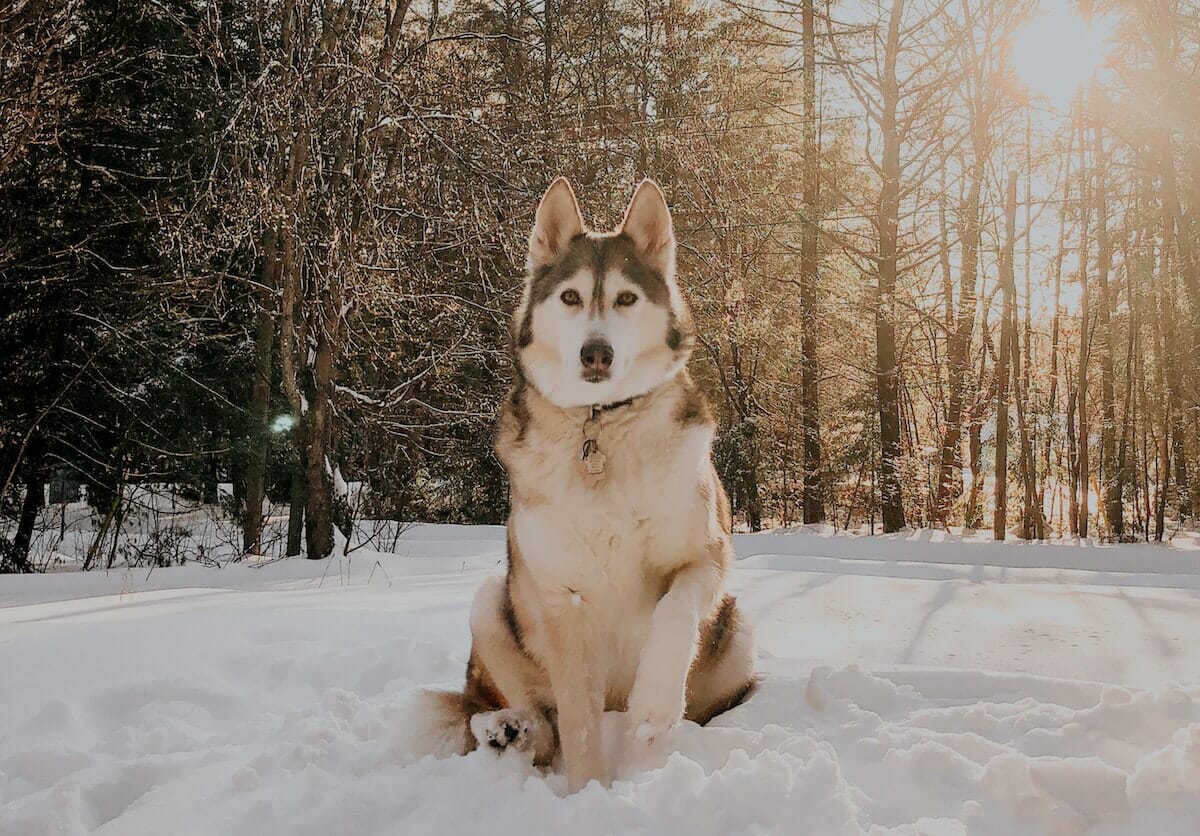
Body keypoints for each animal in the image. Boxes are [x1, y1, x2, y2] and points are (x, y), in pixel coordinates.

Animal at [432, 176, 748, 786]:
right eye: (571, 298)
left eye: (625, 299)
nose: (595, 353)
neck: (600, 425)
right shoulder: (561, 597)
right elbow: (577, 719)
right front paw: (590, 792)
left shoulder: (707, 555)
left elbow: (676, 611)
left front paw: (654, 706)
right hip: (495, 599)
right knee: (530, 716)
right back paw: (508, 729)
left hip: (738, 629)